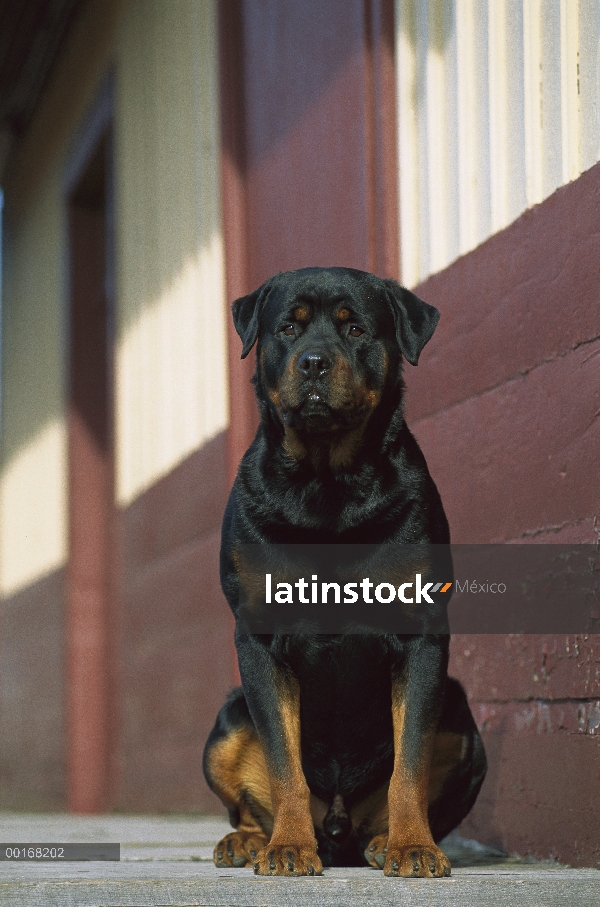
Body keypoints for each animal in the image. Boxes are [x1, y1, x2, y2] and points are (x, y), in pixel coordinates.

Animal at [204, 266, 486, 876]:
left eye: (355, 328)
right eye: (288, 327)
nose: (313, 362)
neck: (326, 484)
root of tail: (336, 829)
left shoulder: (421, 635)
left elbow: (410, 761)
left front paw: (412, 846)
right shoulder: (259, 637)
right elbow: (283, 761)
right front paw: (287, 847)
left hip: (463, 721)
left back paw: (383, 841)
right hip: (228, 719)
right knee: (247, 790)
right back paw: (250, 840)